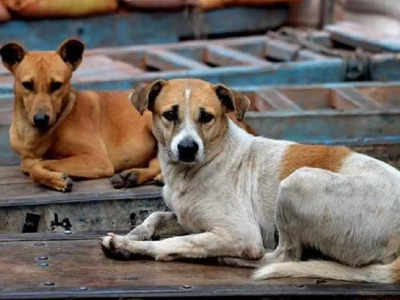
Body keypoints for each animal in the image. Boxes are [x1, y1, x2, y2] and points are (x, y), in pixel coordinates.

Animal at [1, 38, 161, 191]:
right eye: (27, 84)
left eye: (56, 85)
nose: (40, 119)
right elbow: (29, 163)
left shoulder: (97, 159)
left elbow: (36, 165)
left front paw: (55, 179)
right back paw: (134, 175)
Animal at [101, 78, 400, 284]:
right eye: (170, 115)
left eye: (206, 117)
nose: (187, 148)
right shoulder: (186, 216)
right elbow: (156, 216)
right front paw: (136, 233)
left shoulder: (241, 233)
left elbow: (176, 242)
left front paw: (128, 246)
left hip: (296, 183)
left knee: (282, 256)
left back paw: (230, 258)